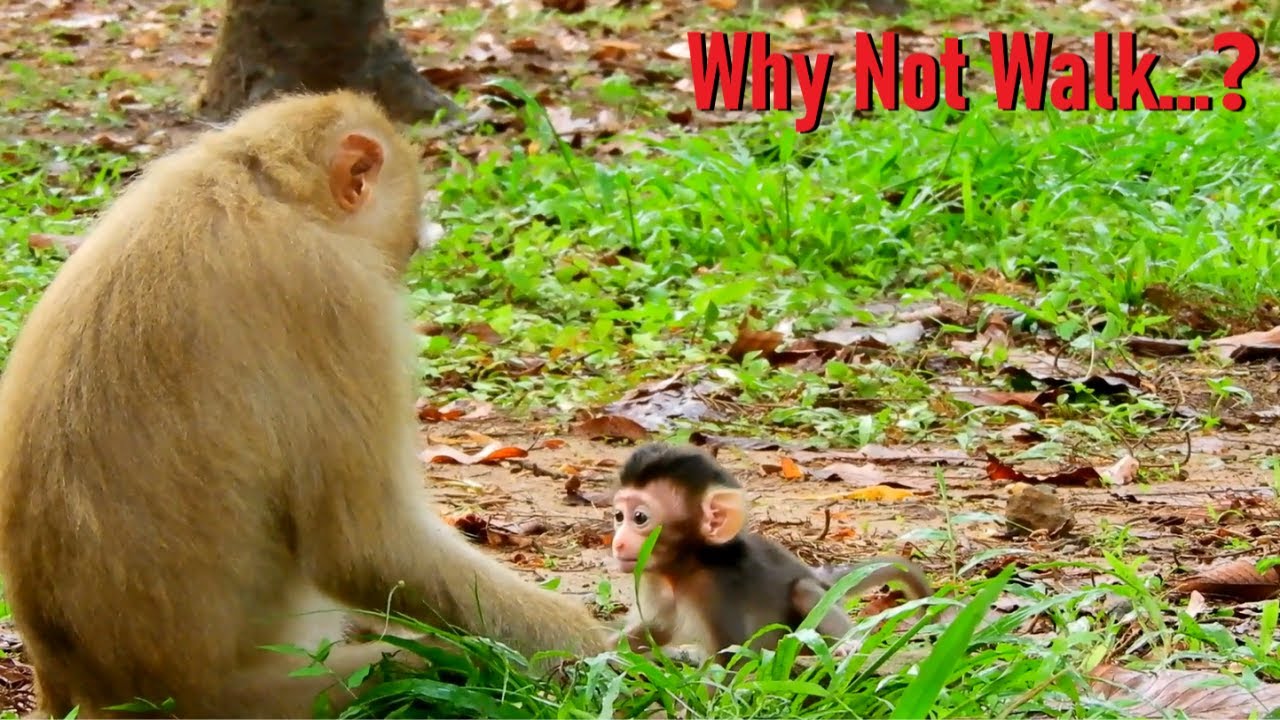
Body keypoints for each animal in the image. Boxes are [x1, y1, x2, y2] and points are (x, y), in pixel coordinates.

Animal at [0, 90, 610, 720]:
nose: (404, 262)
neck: (264, 185)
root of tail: (90, 697)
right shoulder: (339, 293)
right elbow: (366, 547)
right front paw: (591, 649)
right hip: (276, 694)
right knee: (439, 665)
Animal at [608, 443, 932, 666]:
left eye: (639, 518)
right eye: (618, 516)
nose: (618, 543)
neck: (686, 567)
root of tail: (819, 574)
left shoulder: (716, 592)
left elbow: (733, 658)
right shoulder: (655, 584)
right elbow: (655, 630)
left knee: (804, 591)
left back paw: (845, 644)